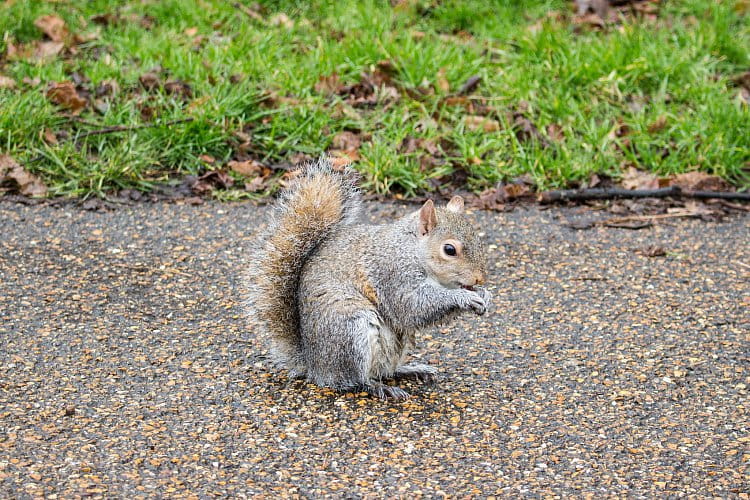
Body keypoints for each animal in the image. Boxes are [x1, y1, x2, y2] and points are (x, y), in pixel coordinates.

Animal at [247, 158, 494, 400]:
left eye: (477, 238)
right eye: (449, 249)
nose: (480, 278)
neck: (412, 249)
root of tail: (314, 366)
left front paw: (484, 294)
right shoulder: (392, 272)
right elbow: (413, 306)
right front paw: (464, 297)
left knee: (385, 370)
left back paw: (410, 370)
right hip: (350, 331)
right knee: (353, 380)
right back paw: (377, 387)